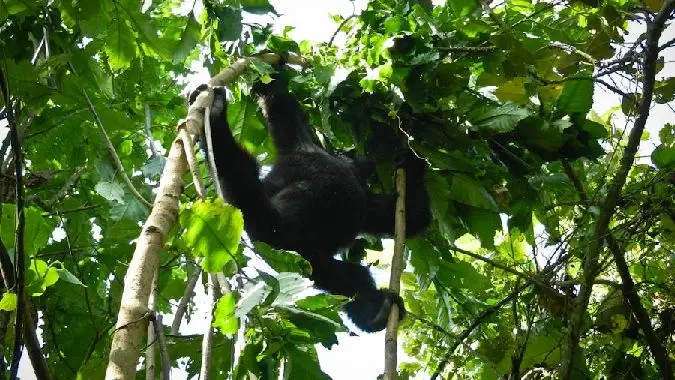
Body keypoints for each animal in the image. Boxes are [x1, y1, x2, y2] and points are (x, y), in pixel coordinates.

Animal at [193, 66, 430, 332]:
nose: (360, 158)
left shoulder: (367, 204)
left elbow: (411, 216)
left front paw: (411, 163)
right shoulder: (301, 144)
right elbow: (279, 103)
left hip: (307, 262)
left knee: (345, 278)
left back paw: (373, 313)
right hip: (279, 231)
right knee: (241, 175)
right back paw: (214, 118)